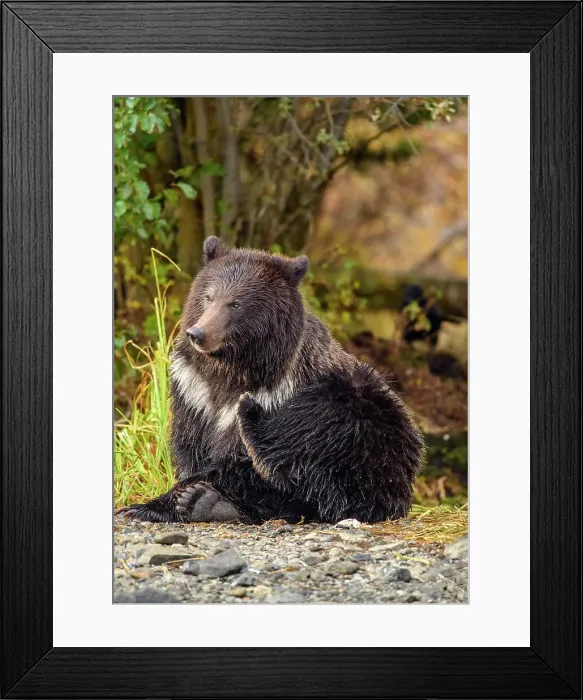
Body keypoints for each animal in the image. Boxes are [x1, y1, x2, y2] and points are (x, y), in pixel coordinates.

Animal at [116, 236, 424, 524]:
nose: (198, 333)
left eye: (236, 303)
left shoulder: (279, 393)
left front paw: (154, 504)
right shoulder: (194, 391)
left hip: (366, 414)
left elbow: (239, 463)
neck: (231, 371)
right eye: (208, 296)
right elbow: (190, 445)